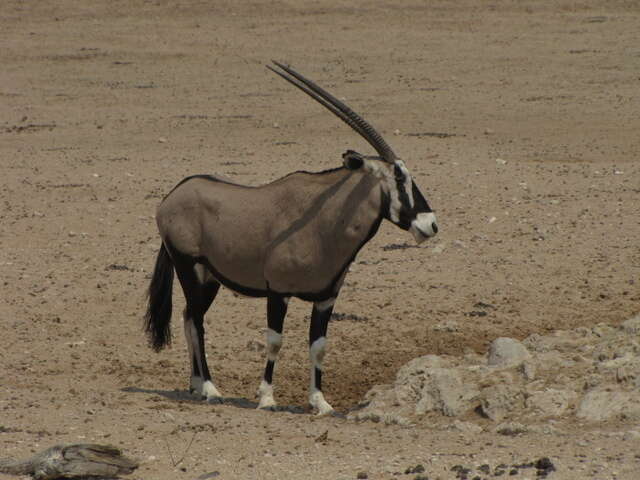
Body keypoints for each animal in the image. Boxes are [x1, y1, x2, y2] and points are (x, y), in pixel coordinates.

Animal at [143, 62, 438, 414]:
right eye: (399, 177)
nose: (430, 224)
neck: (325, 223)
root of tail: (172, 196)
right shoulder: (278, 292)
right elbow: (275, 341)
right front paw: (267, 398)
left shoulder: (326, 297)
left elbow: (319, 346)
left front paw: (320, 402)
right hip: (188, 267)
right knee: (197, 322)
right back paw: (211, 389)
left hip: (208, 278)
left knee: (189, 317)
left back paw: (196, 384)